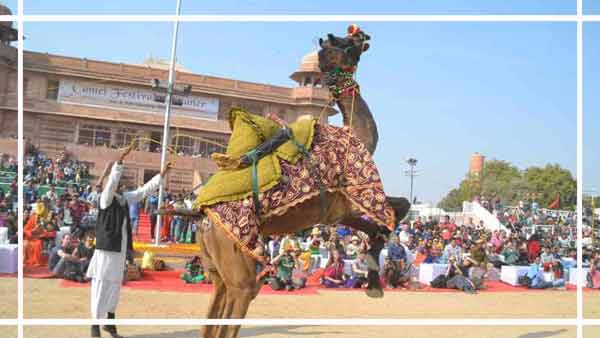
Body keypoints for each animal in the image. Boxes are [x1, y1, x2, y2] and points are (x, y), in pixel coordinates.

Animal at [166, 25, 408, 338]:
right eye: (346, 42)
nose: (363, 35)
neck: (354, 134)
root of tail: (199, 214)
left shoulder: (335, 211)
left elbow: (380, 223)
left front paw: (374, 281)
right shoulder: (353, 193)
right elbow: (396, 210)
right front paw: (375, 281)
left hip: (215, 265)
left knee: (214, 315)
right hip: (237, 263)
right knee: (238, 302)